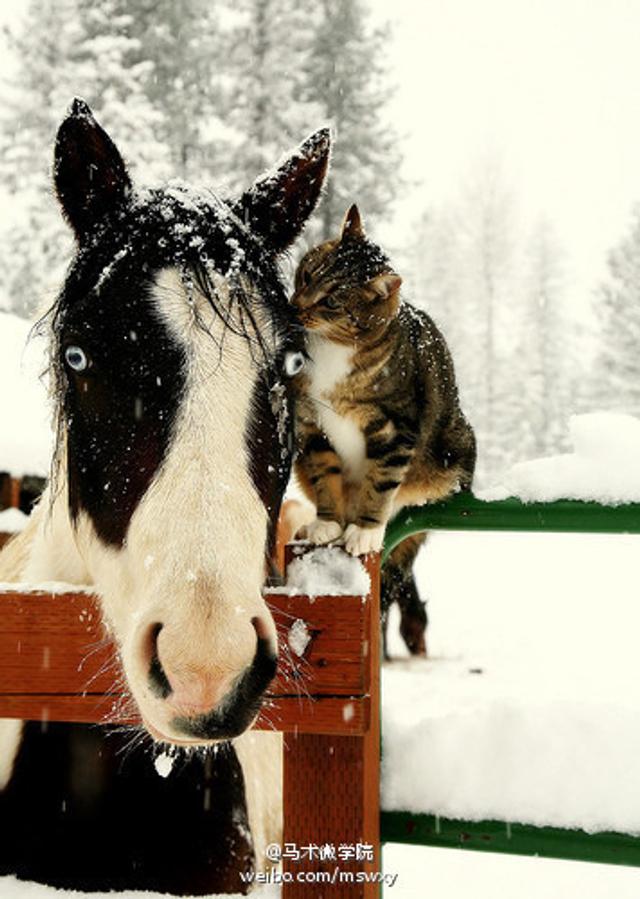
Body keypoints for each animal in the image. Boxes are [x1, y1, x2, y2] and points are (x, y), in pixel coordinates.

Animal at [290, 204, 476, 652]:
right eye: (307, 274)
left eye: (333, 300)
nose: (295, 306)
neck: (330, 350)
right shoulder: (310, 425)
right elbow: (325, 477)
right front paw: (327, 522)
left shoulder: (395, 431)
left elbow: (381, 483)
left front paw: (364, 530)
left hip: (451, 451)